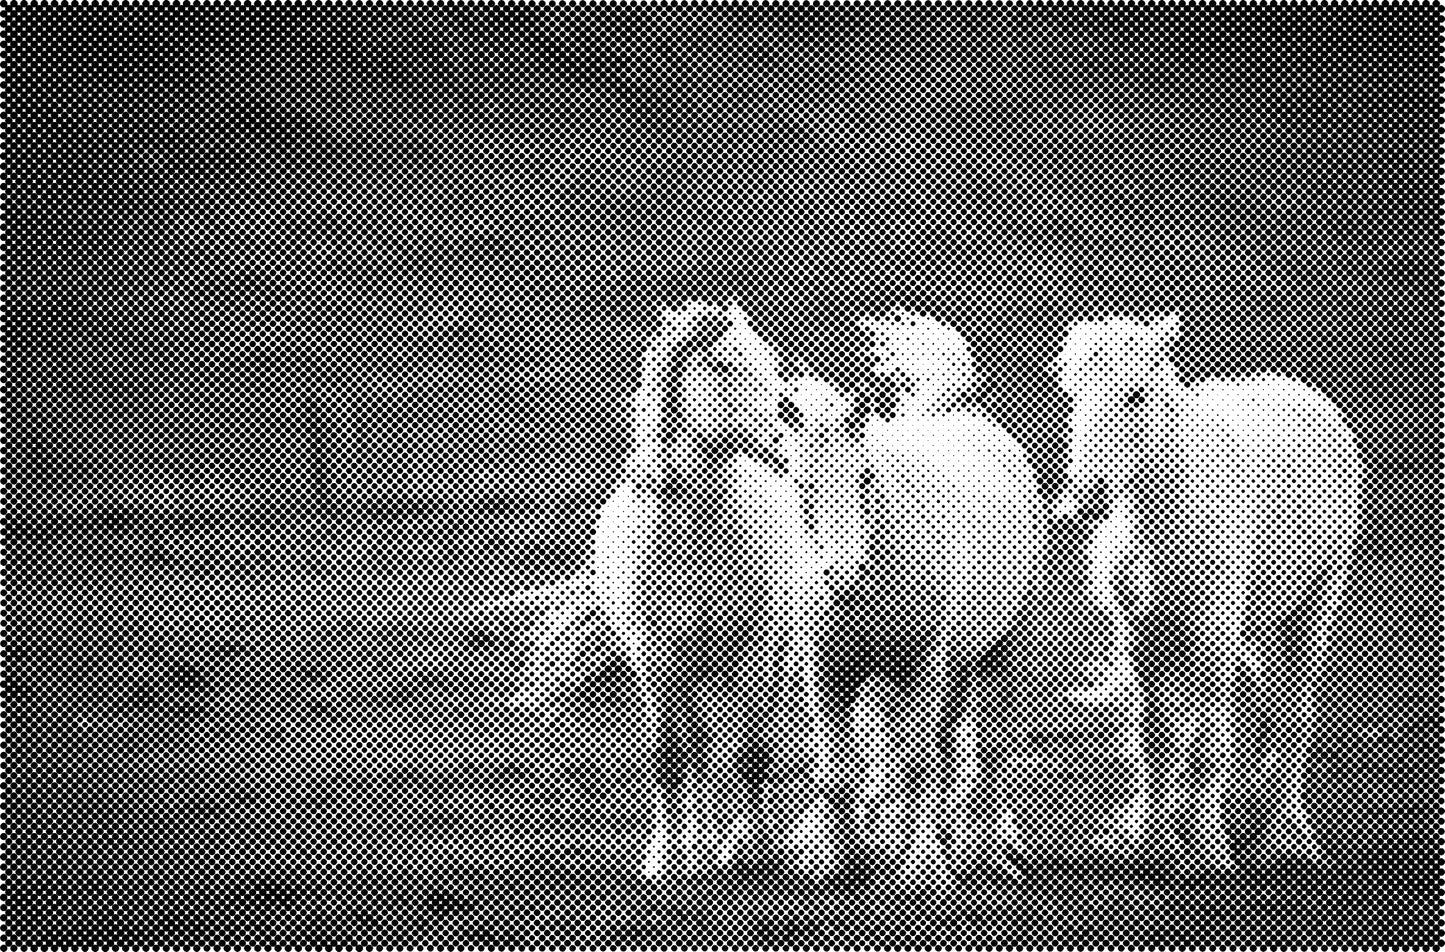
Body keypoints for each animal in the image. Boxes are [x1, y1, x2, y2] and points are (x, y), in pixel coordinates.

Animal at [1054, 312, 1360, 873]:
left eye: (1137, 395)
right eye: (1073, 392)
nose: (1081, 500)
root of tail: (1288, 385)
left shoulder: (1215, 628)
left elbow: (1206, 727)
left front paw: (1209, 848)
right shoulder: (1134, 629)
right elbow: (1146, 724)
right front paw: (1137, 831)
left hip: (1316, 605)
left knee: (1293, 706)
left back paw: (1292, 833)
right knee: (1262, 689)